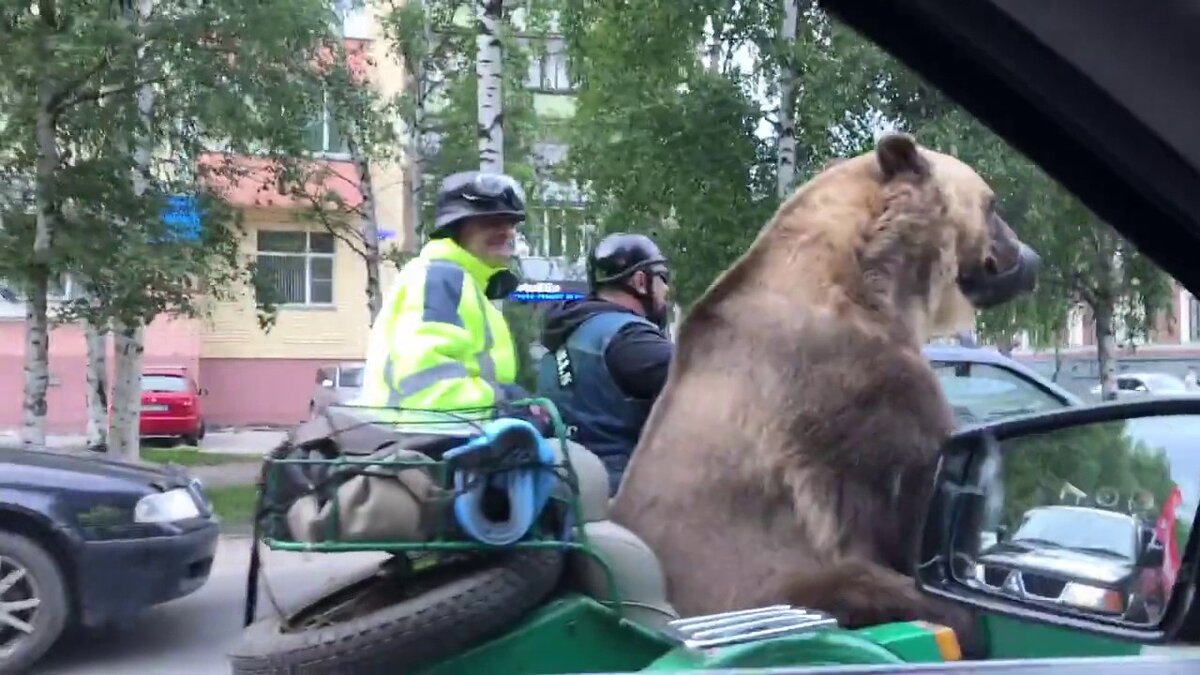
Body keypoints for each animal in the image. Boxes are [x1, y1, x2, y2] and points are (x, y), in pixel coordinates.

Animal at [614, 130, 1036, 653]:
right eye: (992, 204)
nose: (1029, 259)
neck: (873, 282)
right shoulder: (855, 387)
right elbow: (914, 499)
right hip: (758, 578)